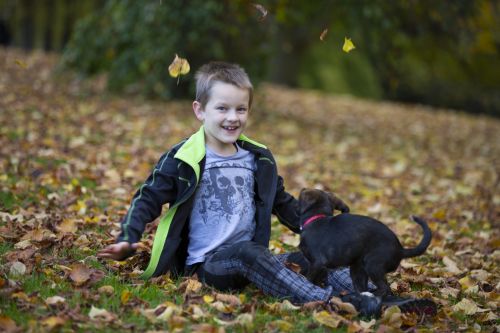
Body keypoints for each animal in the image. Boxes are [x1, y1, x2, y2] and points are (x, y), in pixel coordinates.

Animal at [298, 188, 432, 294]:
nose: (302, 188)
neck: (316, 219)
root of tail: (400, 249)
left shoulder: (318, 262)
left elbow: (308, 278)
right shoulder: (319, 266)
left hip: (373, 265)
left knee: (385, 288)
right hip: (358, 270)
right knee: (366, 288)